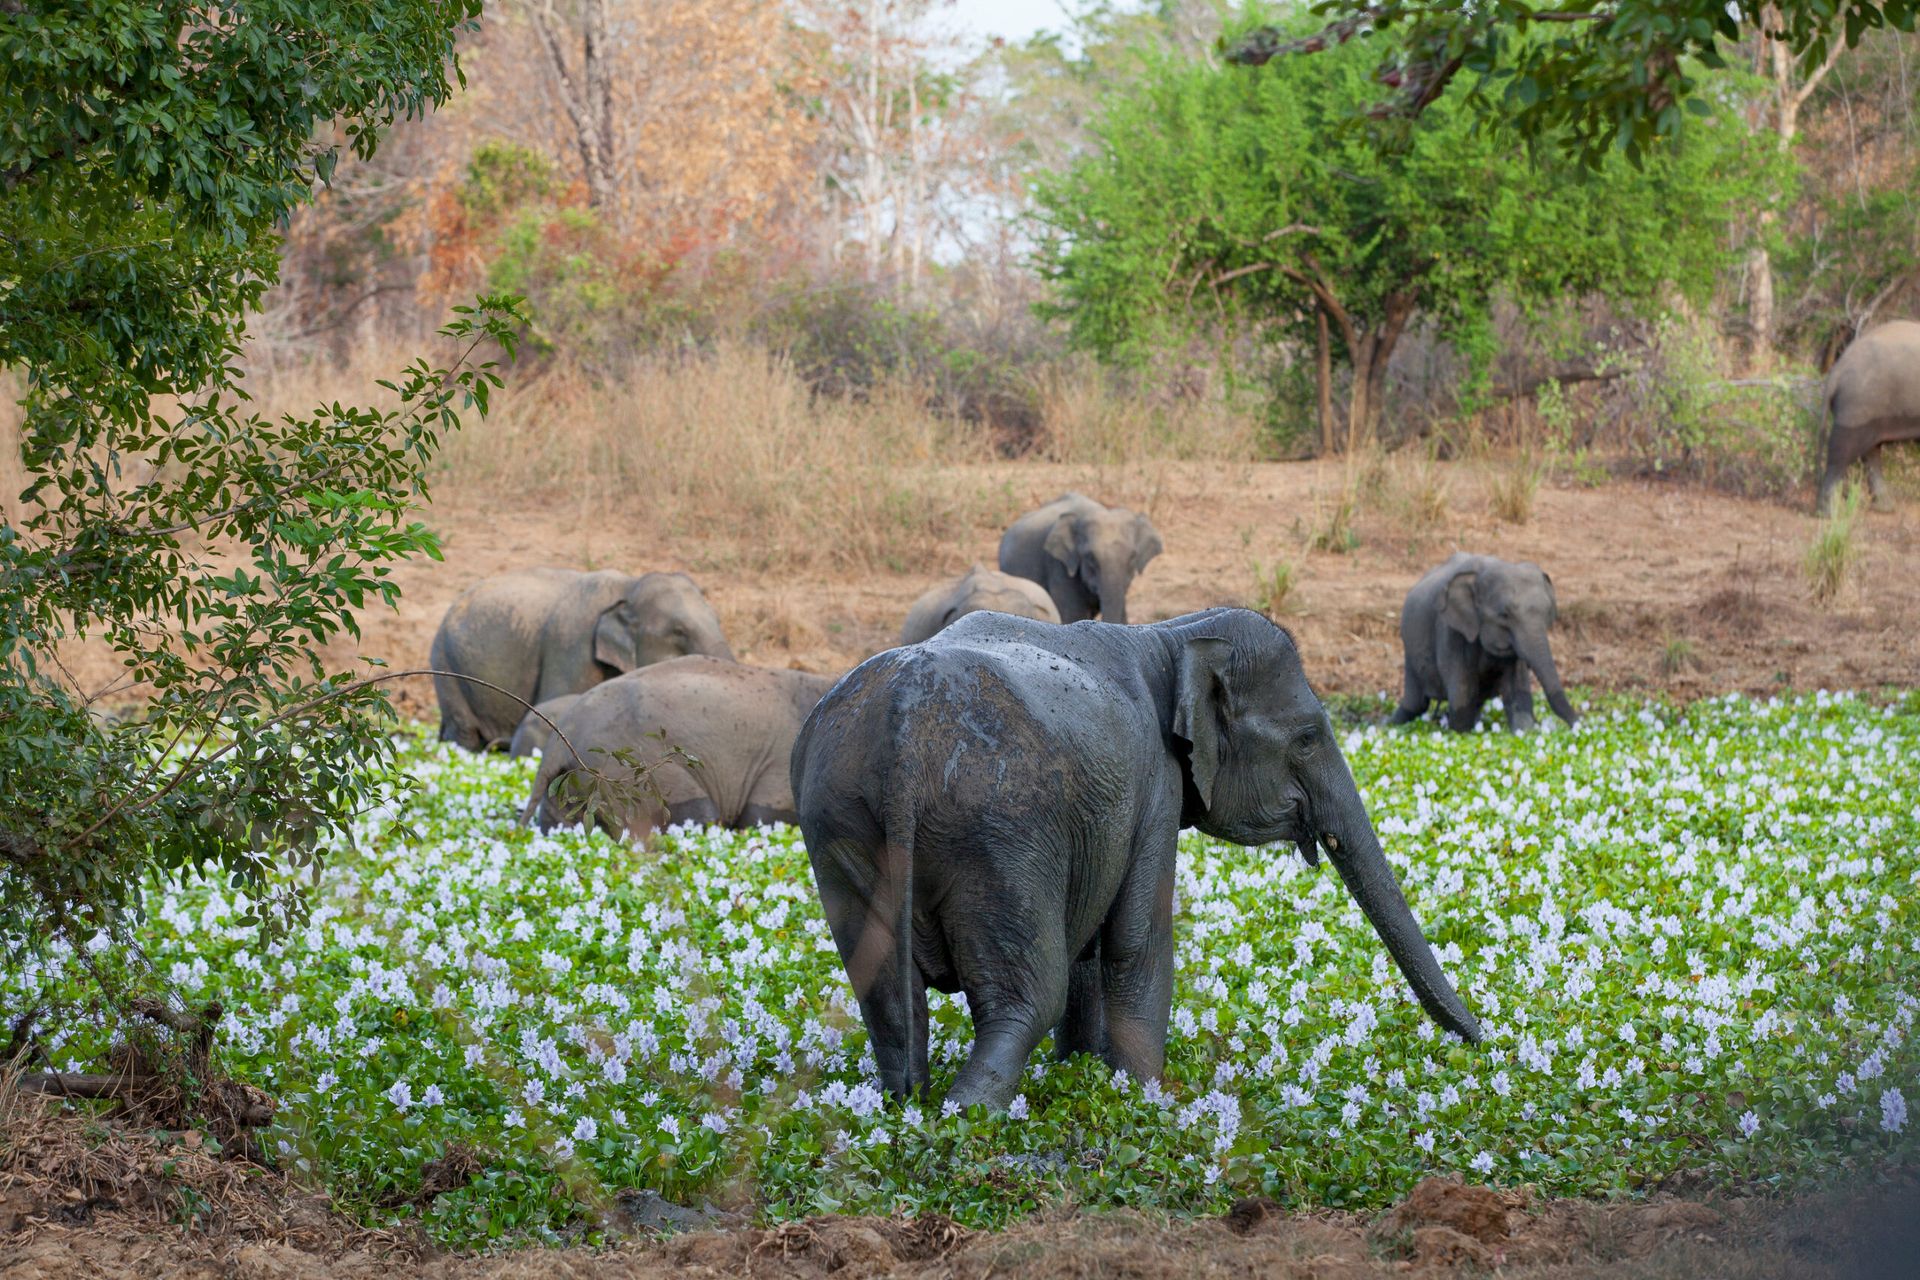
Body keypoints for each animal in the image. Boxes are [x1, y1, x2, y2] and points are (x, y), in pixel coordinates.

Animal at [431, 569, 732, 752]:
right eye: (679, 632)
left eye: (718, 620)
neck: (629, 586)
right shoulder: (572, 645)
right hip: (445, 665)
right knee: (464, 734)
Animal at [529, 656, 836, 838]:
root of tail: (559, 742)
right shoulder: (785, 758)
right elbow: (760, 816)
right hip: (628, 771)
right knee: (695, 812)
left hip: (570, 784)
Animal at [791, 607, 1484, 1110]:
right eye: (1309, 737)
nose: (1482, 1045)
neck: (1170, 638)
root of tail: (903, 740)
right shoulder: (1155, 784)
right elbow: (1134, 939)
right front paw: (1146, 1104)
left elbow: (1091, 950)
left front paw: (1083, 1078)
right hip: (997, 834)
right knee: (1027, 997)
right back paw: (964, 1122)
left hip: (841, 826)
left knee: (887, 995)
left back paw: (903, 1109)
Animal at [1391, 553, 1576, 733]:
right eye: (1504, 615)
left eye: (1548, 612)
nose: (1579, 726)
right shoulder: (1449, 629)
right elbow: (1462, 691)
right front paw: (1461, 733)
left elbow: (1517, 691)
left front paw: (1524, 732)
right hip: (1409, 648)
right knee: (1415, 705)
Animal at [1817, 319, 1920, 515]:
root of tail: (1837, 370)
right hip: (1857, 404)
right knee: (1842, 452)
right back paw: (1829, 514)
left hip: (1867, 407)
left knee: (1870, 451)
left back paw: (1885, 508)